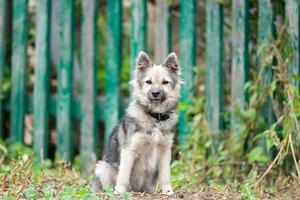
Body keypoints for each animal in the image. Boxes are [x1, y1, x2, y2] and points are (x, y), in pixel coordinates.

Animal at [92, 51, 180, 195]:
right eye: (148, 82)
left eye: (165, 82)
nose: (155, 93)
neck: (154, 116)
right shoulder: (129, 150)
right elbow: (124, 175)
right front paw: (120, 192)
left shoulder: (165, 151)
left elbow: (166, 175)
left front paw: (168, 192)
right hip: (103, 167)